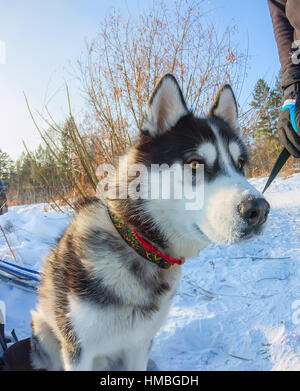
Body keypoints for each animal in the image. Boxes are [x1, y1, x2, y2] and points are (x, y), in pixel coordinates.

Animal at [30, 75, 270, 372]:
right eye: (195, 164)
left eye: (240, 163)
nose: (259, 210)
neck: (138, 244)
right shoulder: (78, 351)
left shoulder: (139, 345)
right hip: (45, 331)